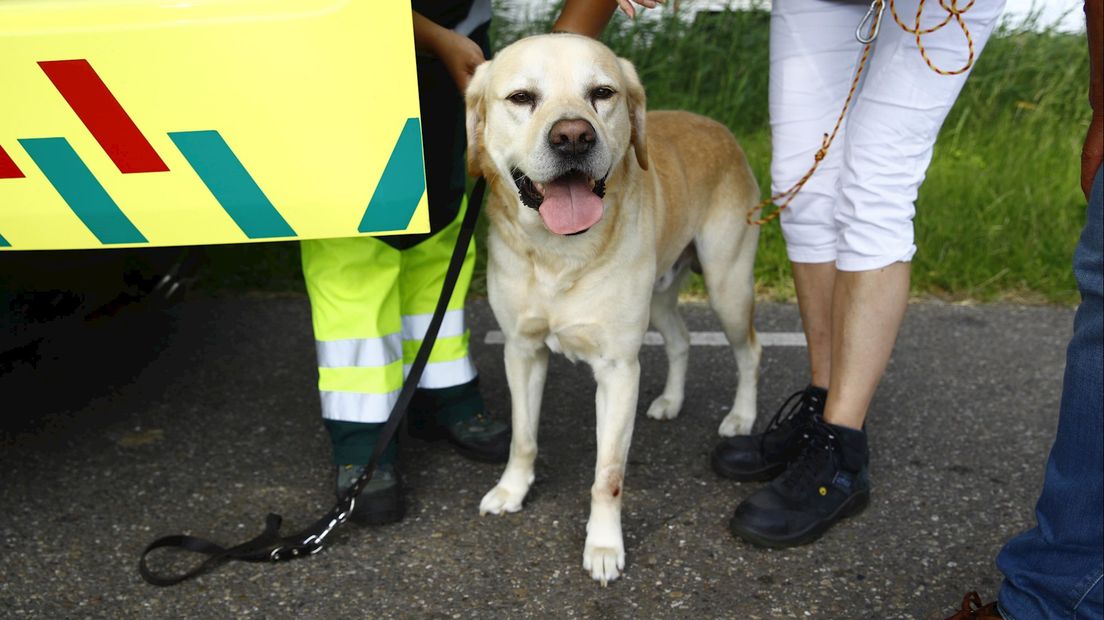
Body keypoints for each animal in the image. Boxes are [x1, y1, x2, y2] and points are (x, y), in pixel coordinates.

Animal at [463, 33, 759, 582]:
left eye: (602, 93)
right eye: (521, 98)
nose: (573, 137)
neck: (559, 253)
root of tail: (717, 125)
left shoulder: (619, 370)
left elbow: (608, 474)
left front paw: (603, 546)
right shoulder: (521, 351)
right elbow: (523, 436)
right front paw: (512, 490)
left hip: (729, 285)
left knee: (750, 351)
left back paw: (741, 417)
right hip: (661, 294)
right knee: (682, 339)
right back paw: (670, 401)